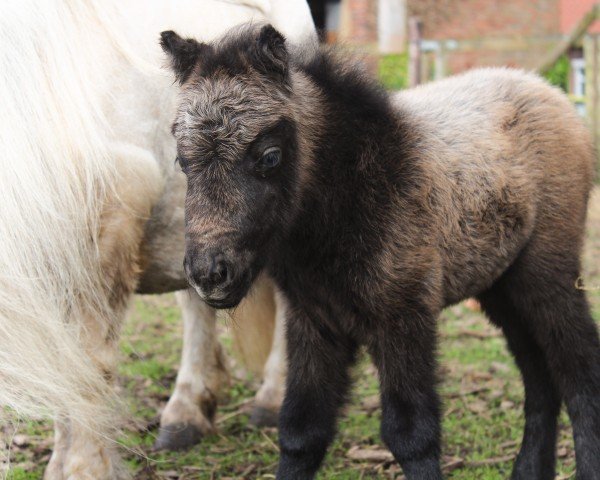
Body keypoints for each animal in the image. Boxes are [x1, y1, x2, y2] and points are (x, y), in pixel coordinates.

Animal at [0, 1, 316, 478]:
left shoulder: (105, 234)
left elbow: (89, 363)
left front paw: (84, 468)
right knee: (197, 303)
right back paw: (186, 414)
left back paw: (272, 398)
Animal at [161, 24, 600, 480]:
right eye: (182, 160)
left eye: (269, 156)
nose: (210, 274)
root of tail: (550, 92)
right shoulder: (315, 322)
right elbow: (302, 430)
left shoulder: (403, 316)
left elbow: (412, 435)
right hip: (501, 285)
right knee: (540, 375)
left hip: (548, 274)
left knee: (580, 371)